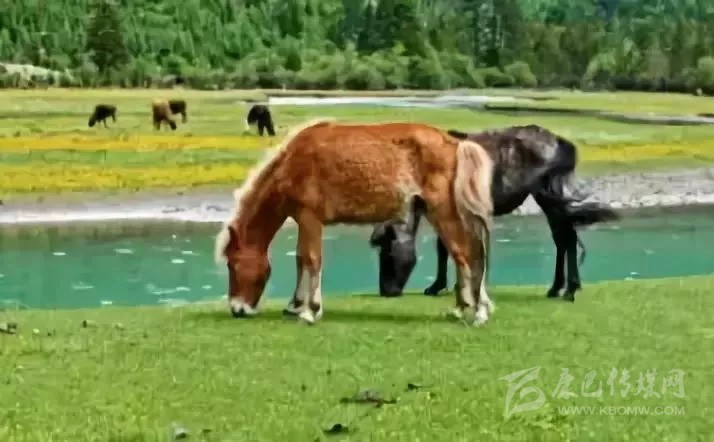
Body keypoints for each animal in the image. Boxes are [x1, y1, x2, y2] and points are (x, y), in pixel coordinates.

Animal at [214, 118, 496, 326]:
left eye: (232, 264)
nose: (237, 309)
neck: (293, 162)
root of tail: (455, 144)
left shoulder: (309, 218)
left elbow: (312, 259)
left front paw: (310, 311)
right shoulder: (304, 220)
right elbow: (300, 260)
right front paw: (296, 306)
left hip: (442, 212)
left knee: (464, 254)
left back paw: (473, 312)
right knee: (468, 253)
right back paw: (466, 308)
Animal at [370, 125, 620, 302]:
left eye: (387, 252)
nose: (386, 290)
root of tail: (558, 141)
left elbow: (444, 247)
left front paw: (438, 285)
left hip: (547, 195)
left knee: (566, 237)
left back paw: (568, 290)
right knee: (563, 238)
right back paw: (558, 288)